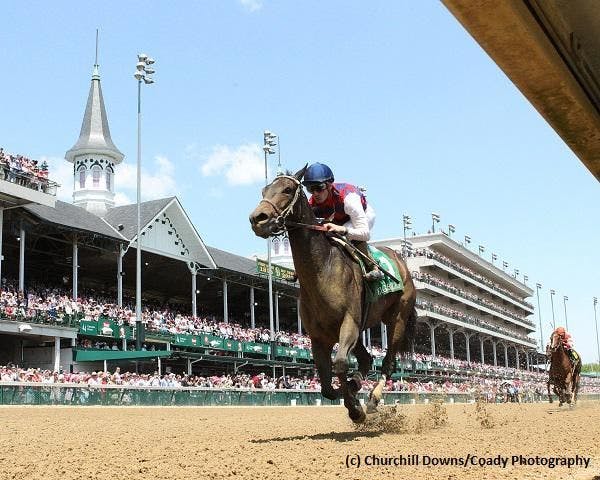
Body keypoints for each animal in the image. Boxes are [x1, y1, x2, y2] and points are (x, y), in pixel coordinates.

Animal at [248, 167, 418, 422]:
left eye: (287, 189)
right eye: (263, 190)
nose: (257, 218)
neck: (322, 271)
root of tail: (403, 264)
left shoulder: (349, 322)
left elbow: (339, 365)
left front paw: (355, 407)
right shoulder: (319, 336)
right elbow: (326, 385)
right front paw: (348, 392)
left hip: (396, 319)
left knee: (388, 363)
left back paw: (373, 399)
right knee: (367, 359)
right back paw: (357, 384)